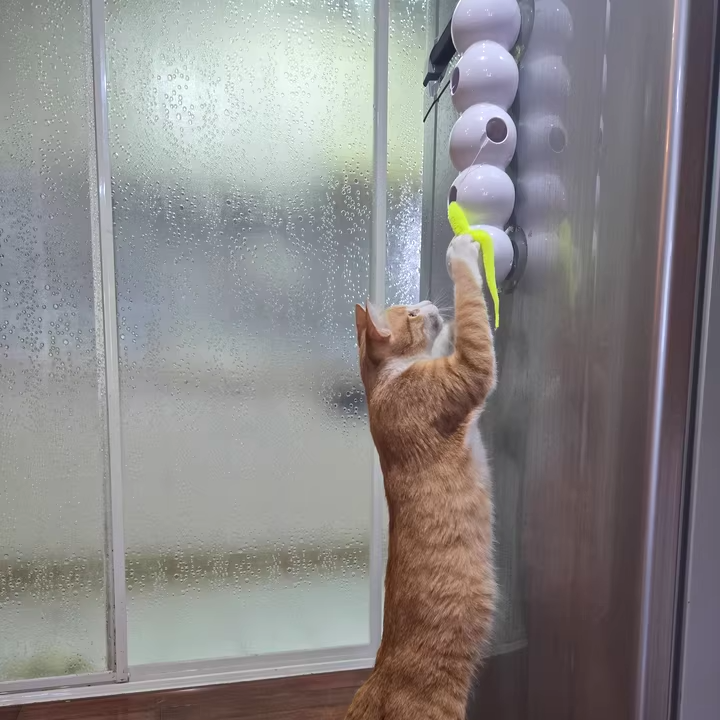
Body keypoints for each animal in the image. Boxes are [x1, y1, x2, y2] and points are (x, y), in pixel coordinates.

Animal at [346, 234, 497, 720]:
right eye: (410, 313)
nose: (428, 302)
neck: (383, 386)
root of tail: (378, 673)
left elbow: (459, 328)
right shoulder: (469, 370)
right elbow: (472, 312)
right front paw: (462, 253)